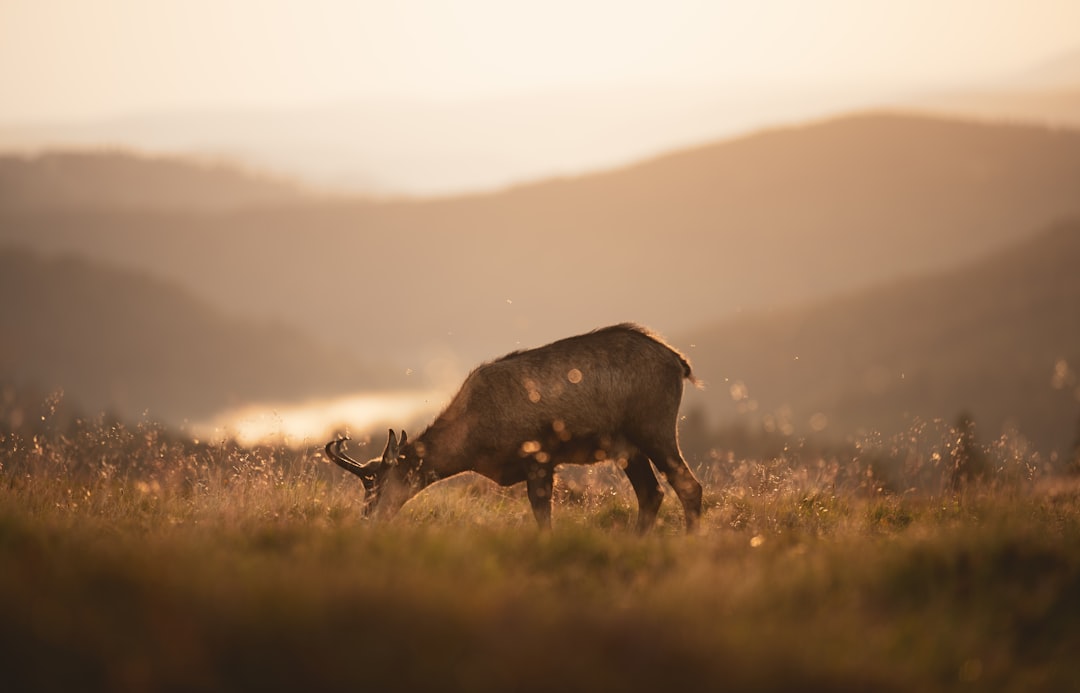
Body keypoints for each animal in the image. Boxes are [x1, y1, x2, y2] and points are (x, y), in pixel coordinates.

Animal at [324, 321, 704, 528]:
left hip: (654, 428)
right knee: (651, 494)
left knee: (689, 486)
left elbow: (543, 515)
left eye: (378, 485)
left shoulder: (539, 458)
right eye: (366, 488)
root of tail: (680, 363)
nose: (367, 520)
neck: (472, 442)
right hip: (628, 447)